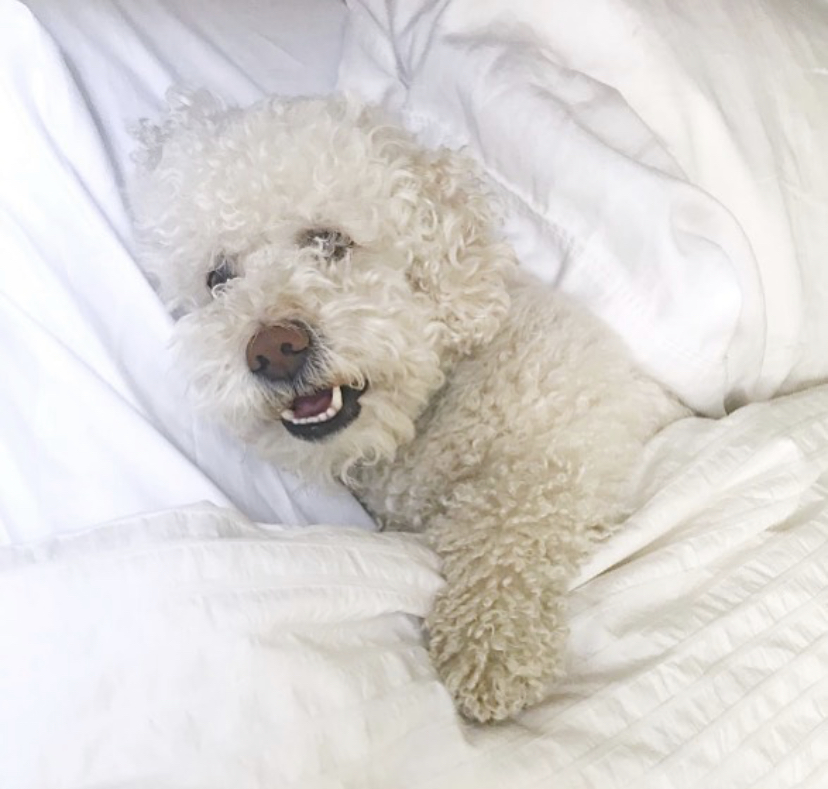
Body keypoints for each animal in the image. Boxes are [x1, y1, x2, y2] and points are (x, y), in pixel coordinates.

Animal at [129, 90, 686, 722]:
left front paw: (492, 646)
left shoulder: (566, 444)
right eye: (218, 277)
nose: (272, 348)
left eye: (329, 242)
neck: (433, 415)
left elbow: (507, 524)